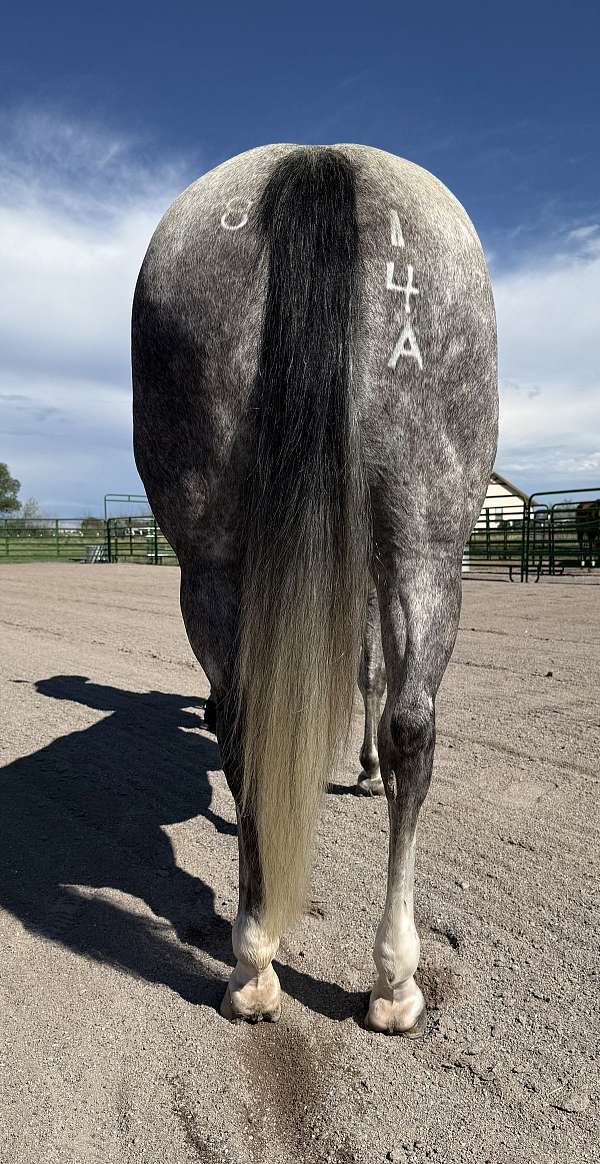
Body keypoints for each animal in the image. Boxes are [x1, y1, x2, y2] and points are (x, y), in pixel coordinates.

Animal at [132, 144, 498, 1035]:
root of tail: (318, 161)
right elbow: (371, 677)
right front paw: (362, 770)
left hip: (215, 563)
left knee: (253, 727)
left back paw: (253, 965)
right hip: (428, 545)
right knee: (410, 729)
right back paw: (392, 981)